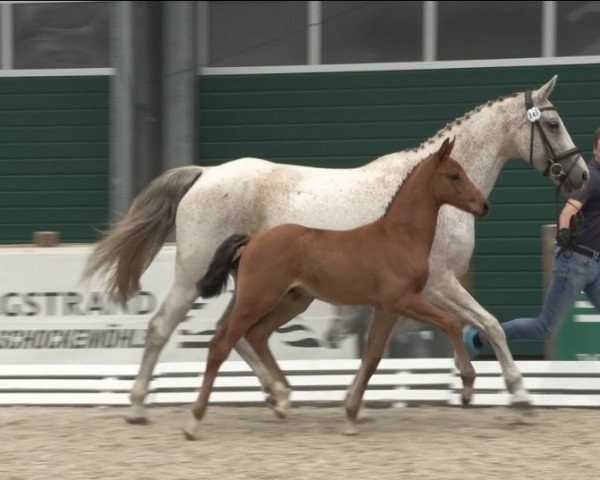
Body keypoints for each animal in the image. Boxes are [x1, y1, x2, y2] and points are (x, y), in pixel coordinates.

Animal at [185, 138, 490, 438]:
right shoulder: (403, 300)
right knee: (221, 343)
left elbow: (372, 357)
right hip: (256, 299)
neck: (401, 236)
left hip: (292, 301)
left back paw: (281, 398)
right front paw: (466, 386)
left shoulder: (387, 309)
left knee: (257, 335)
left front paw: (352, 414)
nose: (483, 205)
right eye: (453, 175)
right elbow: (450, 322)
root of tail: (253, 239)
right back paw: (195, 421)